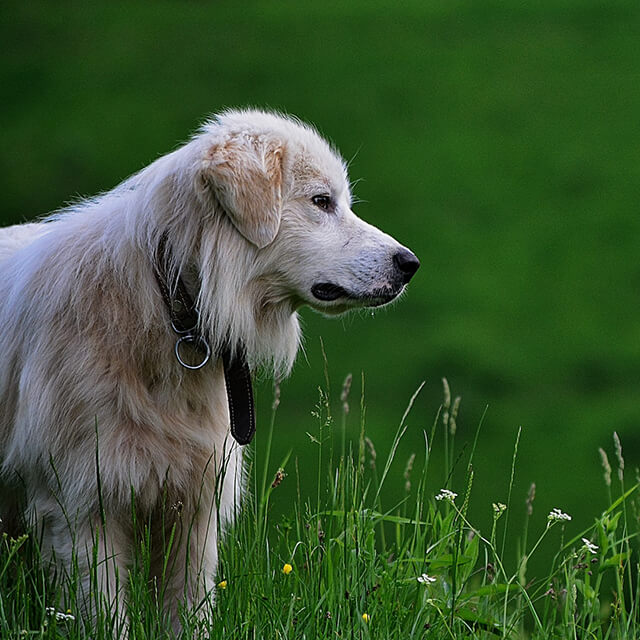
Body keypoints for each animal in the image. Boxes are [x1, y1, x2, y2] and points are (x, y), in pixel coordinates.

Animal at [0, 109, 420, 632]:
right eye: (322, 202)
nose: (410, 264)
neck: (169, 304)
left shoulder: (196, 508)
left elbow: (190, 613)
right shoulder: (81, 509)